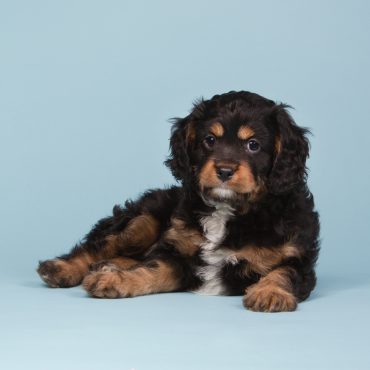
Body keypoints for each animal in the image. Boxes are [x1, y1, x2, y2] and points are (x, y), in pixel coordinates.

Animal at [38, 90, 320, 312]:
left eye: (253, 145)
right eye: (209, 140)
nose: (224, 171)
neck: (228, 209)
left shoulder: (296, 256)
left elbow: (284, 272)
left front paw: (270, 292)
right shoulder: (176, 253)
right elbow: (152, 268)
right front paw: (116, 281)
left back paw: (106, 267)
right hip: (143, 220)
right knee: (99, 246)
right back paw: (63, 268)